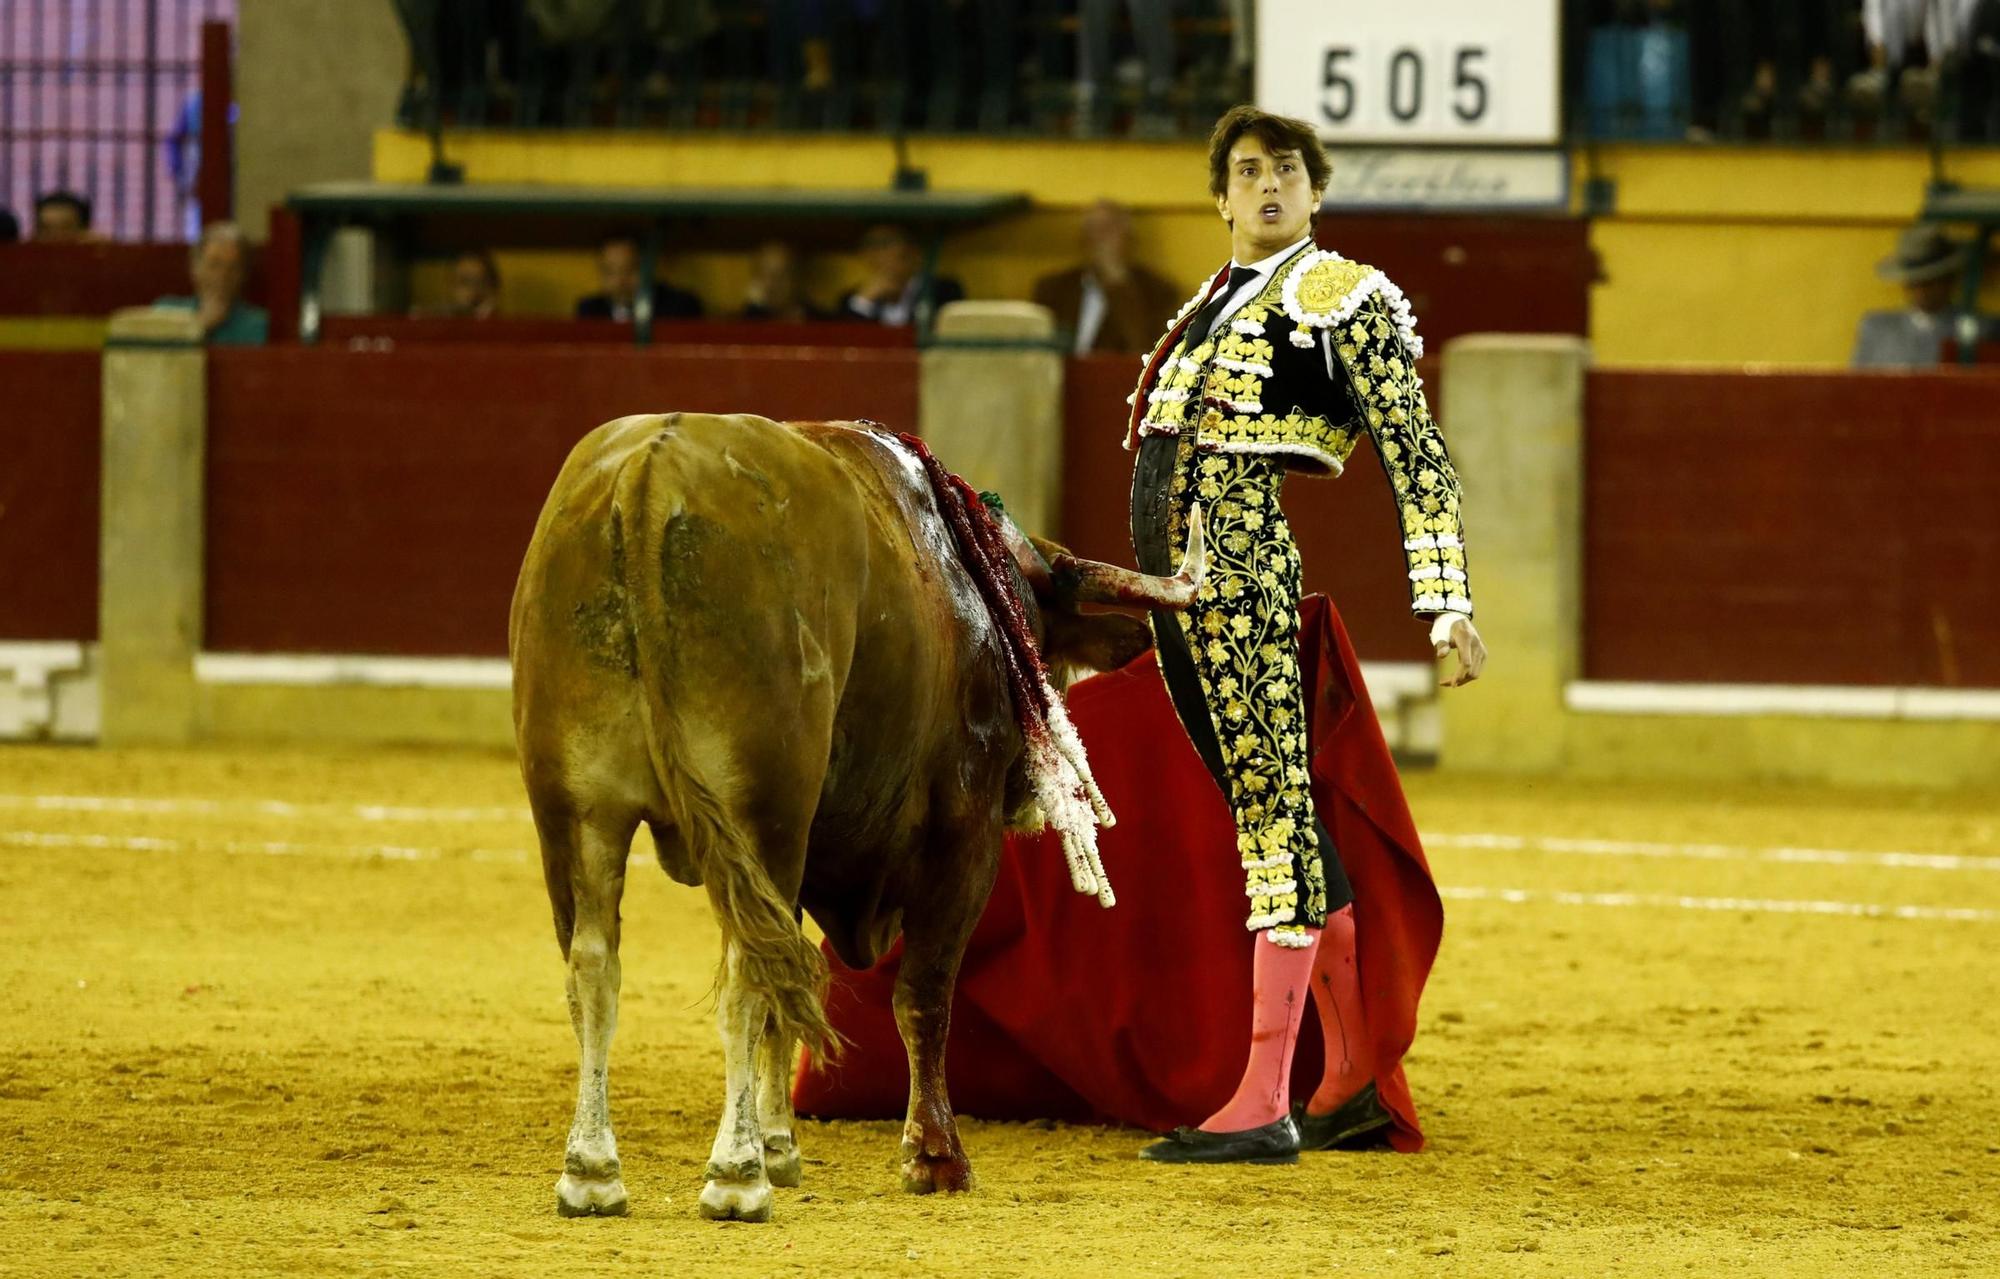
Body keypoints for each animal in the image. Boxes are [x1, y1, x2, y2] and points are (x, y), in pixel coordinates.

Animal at [512, 415, 1200, 1223]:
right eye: (1036, 644)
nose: (1029, 796)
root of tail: (651, 476)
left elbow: (799, 986)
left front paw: (783, 1146)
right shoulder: (963, 837)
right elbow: (922, 995)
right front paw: (934, 1157)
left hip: (579, 811)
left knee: (595, 964)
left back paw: (592, 1170)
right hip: (759, 810)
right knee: (748, 971)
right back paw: (734, 1176)